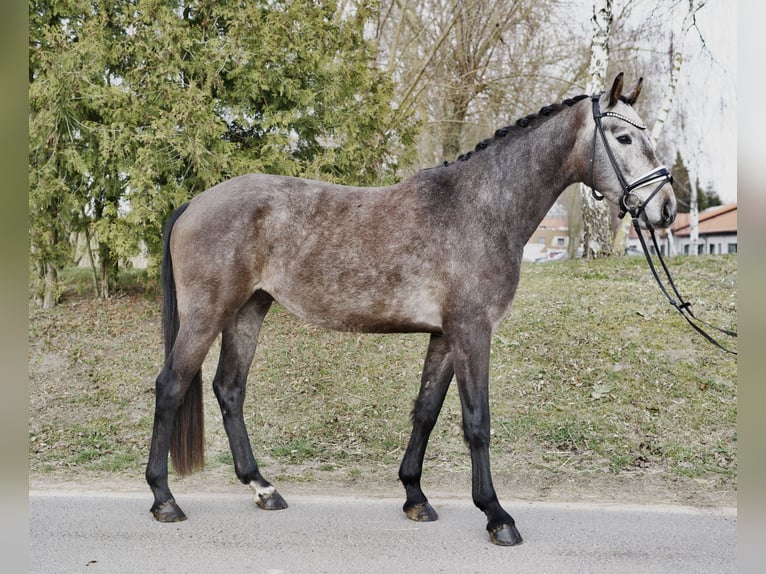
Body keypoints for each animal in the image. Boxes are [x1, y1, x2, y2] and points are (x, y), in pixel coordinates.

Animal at [146, 74, 680, 548]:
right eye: (624, 137)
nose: (667, 209)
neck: (481, 207)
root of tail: (194, 202)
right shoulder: (472, 331)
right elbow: (476, 422)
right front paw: (497, 516)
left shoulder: (444, 336)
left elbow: (425, 411)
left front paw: (415, 497)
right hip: (208, 313)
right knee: (171, 385)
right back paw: (164, 499)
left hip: (248, 310)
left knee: (229, 389)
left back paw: (263, 488)